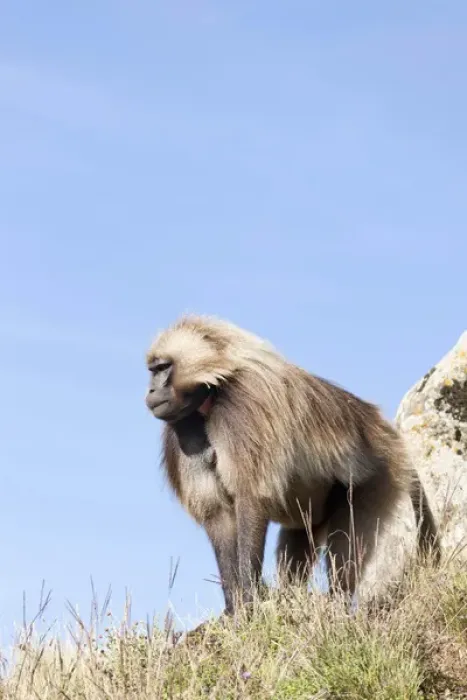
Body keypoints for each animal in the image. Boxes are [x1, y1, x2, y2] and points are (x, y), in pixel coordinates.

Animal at [145, 314, 440, 616]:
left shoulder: (245, 407)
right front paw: (234, 607)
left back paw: (337, 606)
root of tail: (386, 434)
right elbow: (218, 515)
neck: (214, 392)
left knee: (346, 549)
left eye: (163, 368)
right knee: (297, 544)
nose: (152, 390)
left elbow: (251, 498)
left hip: (377, 480)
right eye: (153, 370)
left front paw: (249, 601)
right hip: (314, 513)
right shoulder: (185, 429)